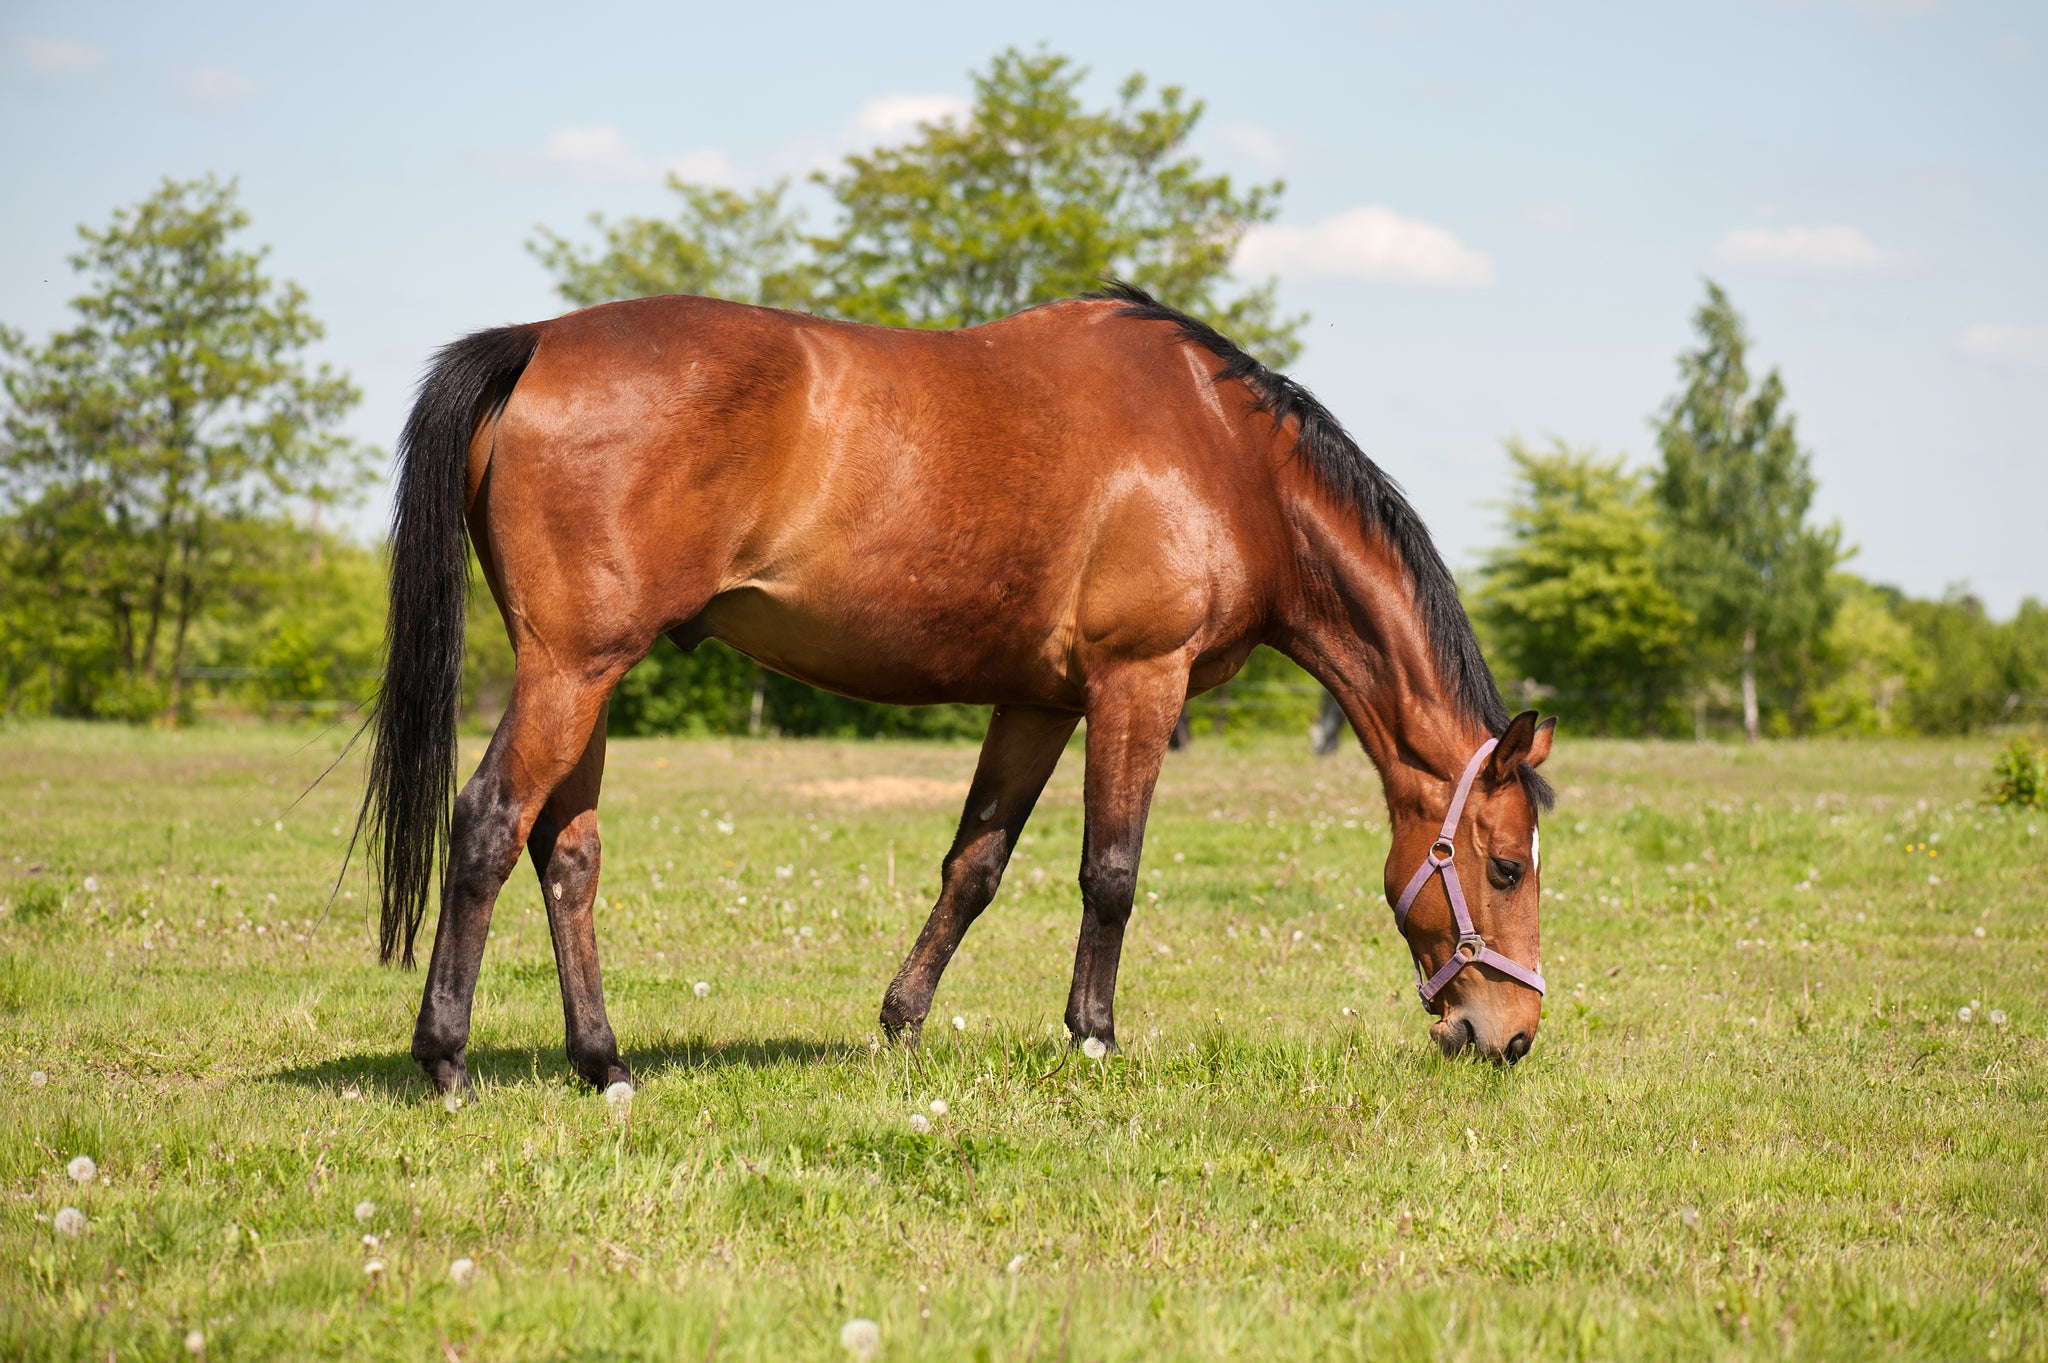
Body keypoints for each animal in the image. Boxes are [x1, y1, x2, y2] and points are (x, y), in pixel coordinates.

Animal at [368, 284, 1548, 1096]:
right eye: (1502, 863)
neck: (1224, 459)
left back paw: (603, 1063)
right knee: (487, 823)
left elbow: (974, 866)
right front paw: (1093, 1036)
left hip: (590, 678)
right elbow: (1110, 872)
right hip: (570, 670)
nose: (1512, 1035)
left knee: (566, 854)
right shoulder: (1139, 682)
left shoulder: (1039, 701)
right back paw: (447, 1061)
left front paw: (901, 1021)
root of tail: (536, 341)